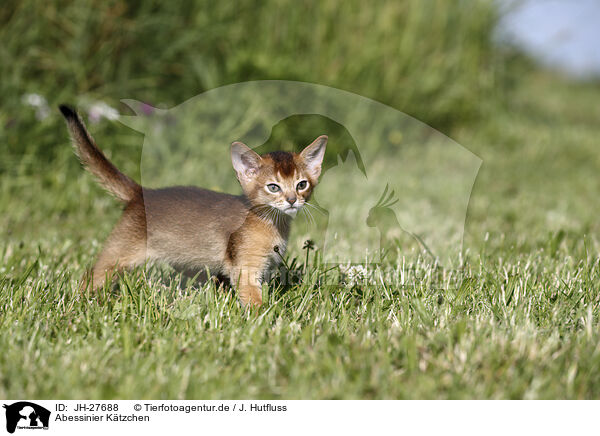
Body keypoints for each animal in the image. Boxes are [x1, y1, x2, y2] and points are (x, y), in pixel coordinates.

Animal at [59, 104, 328, 306]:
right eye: (273, 187)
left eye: (301, 184)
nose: (292, 199)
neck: (271, 223)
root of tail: (141, 193)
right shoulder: (246, 269)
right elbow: (254, 301)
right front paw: (265, 322)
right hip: (118, 253)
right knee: (90, 276)